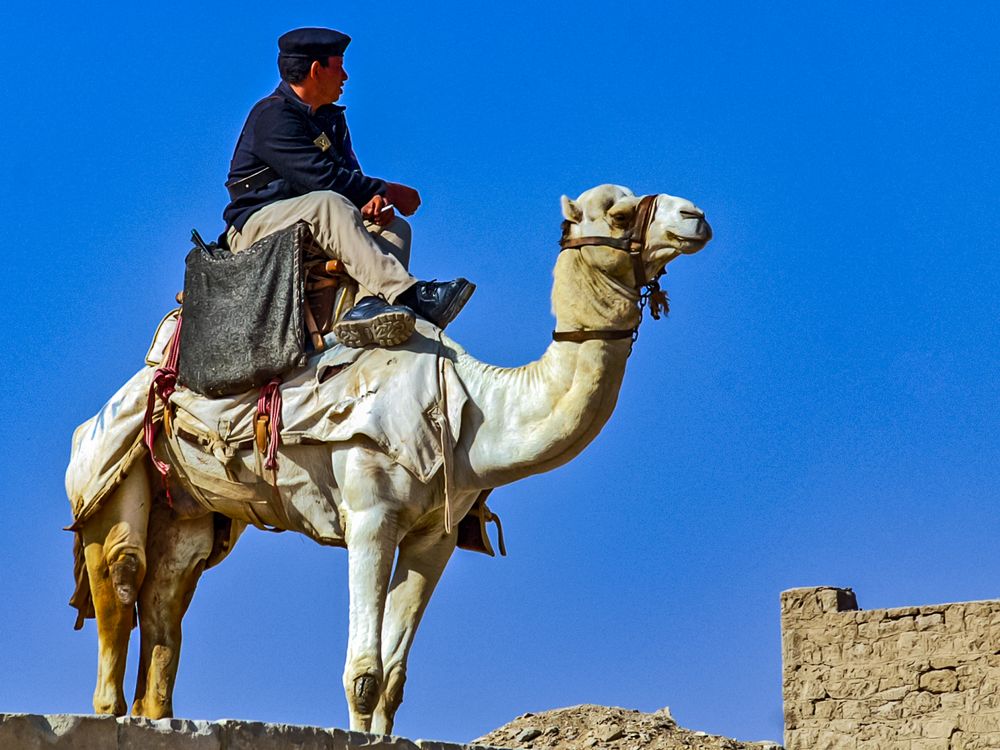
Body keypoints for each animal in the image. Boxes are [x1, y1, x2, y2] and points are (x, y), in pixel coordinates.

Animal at [74, 185, 712, 736]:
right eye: (620, 214)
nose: (696, 216)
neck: (473, 408)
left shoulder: (437, 535)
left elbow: (394, 679)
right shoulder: (371, 517)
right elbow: (362, 673)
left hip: (192, 509)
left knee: (170, 589)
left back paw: (155, 714)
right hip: (109, 467)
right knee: (124, 572)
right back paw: (109, 713)